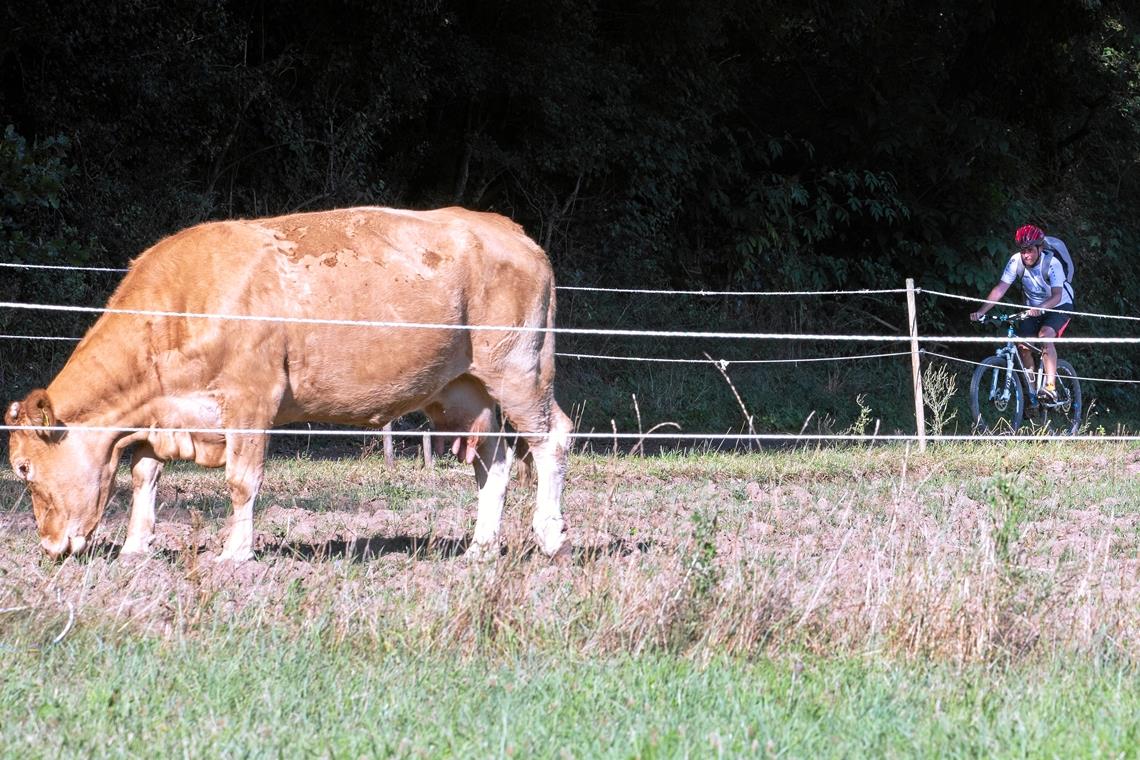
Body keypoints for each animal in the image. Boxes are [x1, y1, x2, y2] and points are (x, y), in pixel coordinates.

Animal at [7, 205, 574, 562]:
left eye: (22, 467)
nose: (49, 546)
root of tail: (509, 229)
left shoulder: (250, 397)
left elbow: (241, 480)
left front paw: (235, 553)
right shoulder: (165, 413)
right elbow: (144, 474)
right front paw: (134, 548)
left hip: (518, 367)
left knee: (551, 438)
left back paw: (550, 537)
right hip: (463, 389)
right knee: (495, 460)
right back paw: (480, 548)